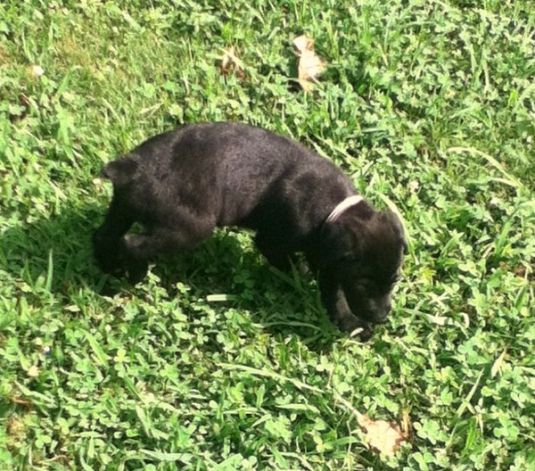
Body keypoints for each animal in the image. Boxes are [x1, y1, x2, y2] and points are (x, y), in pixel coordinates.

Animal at [93, 123, 406, 342]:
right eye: (363, 285)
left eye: (394, 281)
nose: (382, 317)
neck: (333, 206)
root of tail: (132, 167)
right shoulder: (277, 242)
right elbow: (315, 279)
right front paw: (348, 321)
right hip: (189, 227)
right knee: (131, 243)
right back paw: (134, 274)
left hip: (123, 208)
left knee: (104, 234)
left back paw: (108, 270)